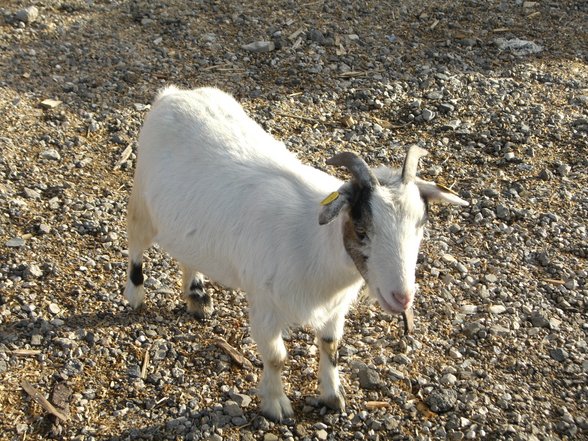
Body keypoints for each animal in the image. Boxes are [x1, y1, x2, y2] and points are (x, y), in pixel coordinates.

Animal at [125, 86, 468, 420]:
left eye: (421, 225)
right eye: (361, 230)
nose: (403, 297)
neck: (313, 243)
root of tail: (173, 93)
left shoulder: (335, 308)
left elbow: (331, 346)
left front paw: (332, 396)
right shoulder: (264, 304)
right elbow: (276, 357)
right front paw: (276, 405)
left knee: (188, 254)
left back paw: (197, 295)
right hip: (141, 203)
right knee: (135, 246)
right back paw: (135, 295)